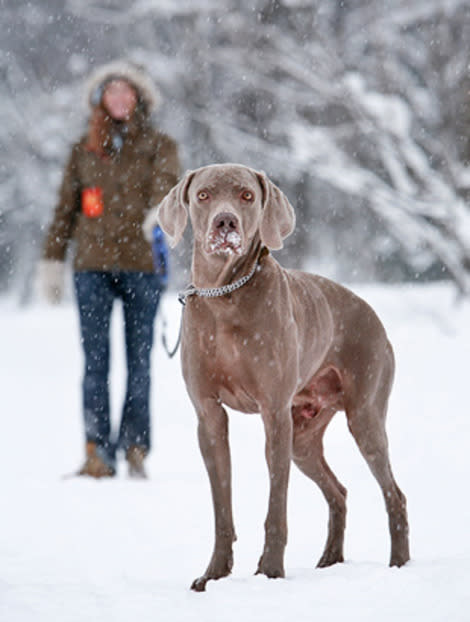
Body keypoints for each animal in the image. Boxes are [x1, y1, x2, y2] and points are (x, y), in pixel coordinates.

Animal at [145, 163, 410, 592]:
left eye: (246, 196)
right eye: (203, 195)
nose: (225, 222)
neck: (224, 294)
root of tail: (372, 313)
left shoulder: (275, 413)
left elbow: (276, 507)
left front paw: (269, 570)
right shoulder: (209, 416)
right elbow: (222, 506)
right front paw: (214, 574)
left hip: (364, 415)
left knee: (394, 493)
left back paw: (399, 564)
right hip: (304, 437)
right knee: (338, 491)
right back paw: (330, 559)